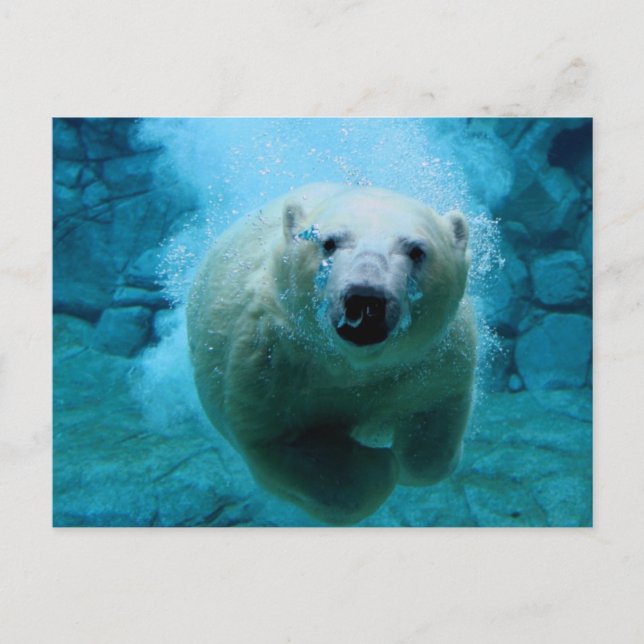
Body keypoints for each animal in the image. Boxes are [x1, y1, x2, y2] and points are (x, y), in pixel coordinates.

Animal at [187, 183, 476, 525]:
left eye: (417, 250)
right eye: (328, 242)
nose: (366, 299)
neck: (351, 365)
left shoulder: (433, 359)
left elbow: (434, 426)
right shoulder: (269, 363)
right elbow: (281, 445)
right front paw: (378, 464)